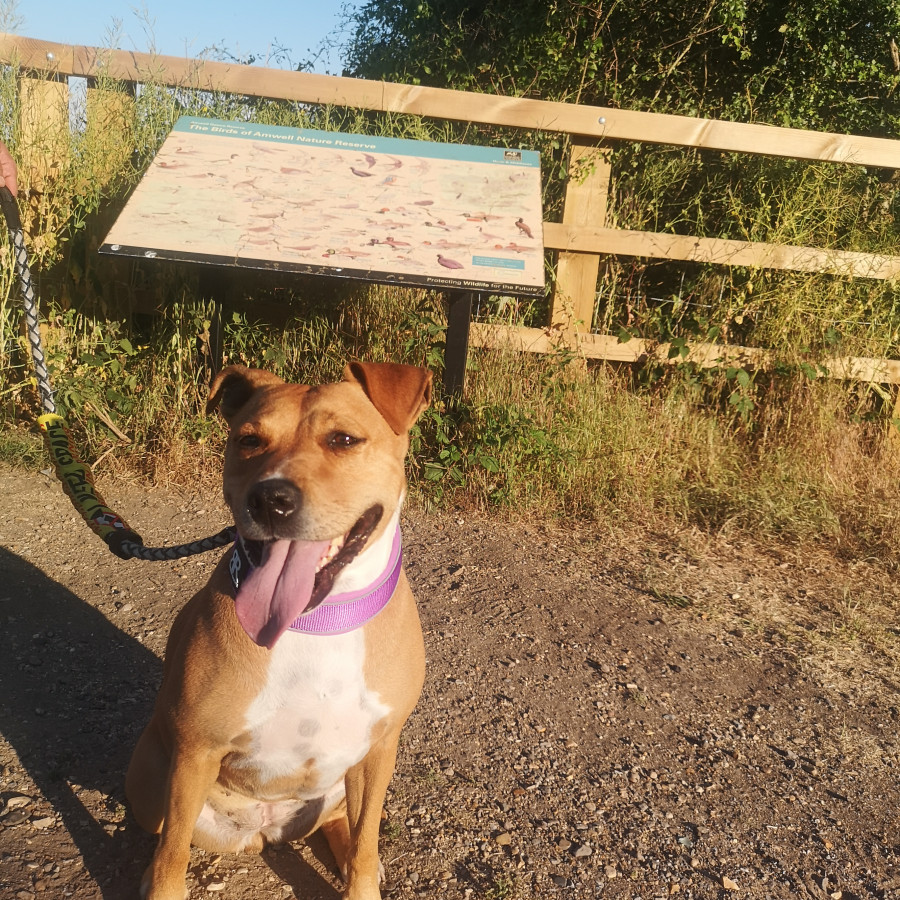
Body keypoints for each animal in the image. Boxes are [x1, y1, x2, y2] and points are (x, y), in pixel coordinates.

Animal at [126, 360, 432, 900]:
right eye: (249, 440)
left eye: (344, 439)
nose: (270, 498)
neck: (315, 622)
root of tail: (262, 830)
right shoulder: (195, 753)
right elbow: (172, 855)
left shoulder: (379, 751)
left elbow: (367, 842)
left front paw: (362, 874)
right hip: (149, 779)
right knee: (165, 836)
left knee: (348, 827)